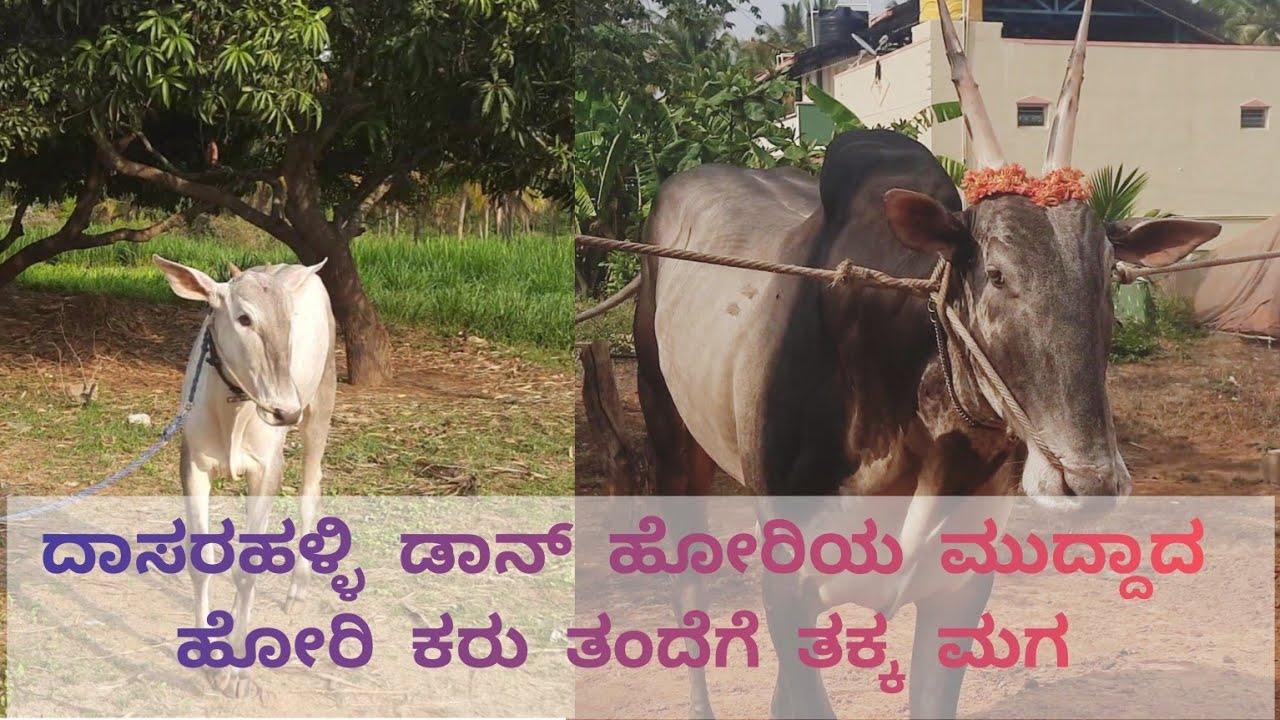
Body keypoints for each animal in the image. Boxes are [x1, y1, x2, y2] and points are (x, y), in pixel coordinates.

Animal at [619, 2, 1221, 718]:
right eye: (995, 273)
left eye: (1110, 274)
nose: (1090, 480)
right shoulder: (787, 589)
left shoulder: (960, 593)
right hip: (670, 440)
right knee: (687, 599)